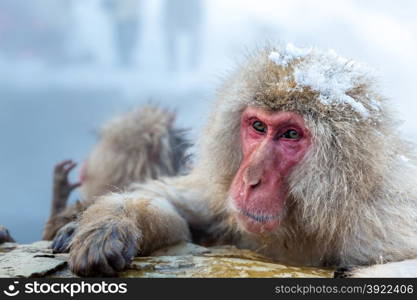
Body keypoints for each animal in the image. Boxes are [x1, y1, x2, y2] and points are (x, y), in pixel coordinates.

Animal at [64, 44, 416, 276]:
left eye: (290, 134)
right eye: (258, 126)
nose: (250, 179)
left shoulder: (381, 223)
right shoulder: (222, 199)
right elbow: (174, 207)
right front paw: (110, 226)